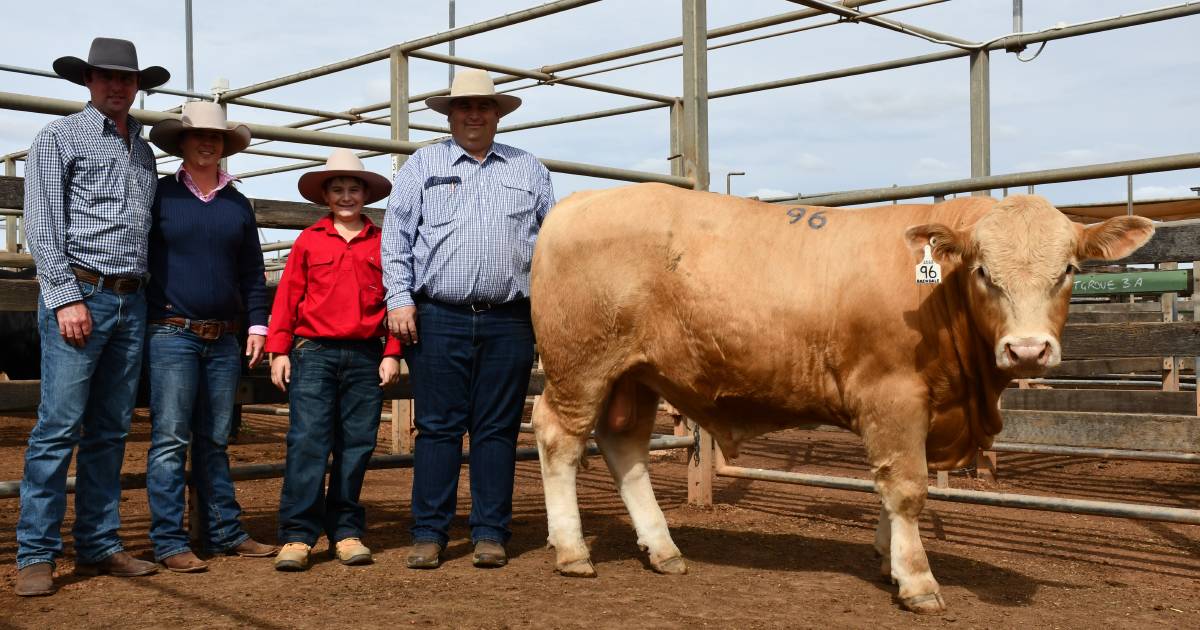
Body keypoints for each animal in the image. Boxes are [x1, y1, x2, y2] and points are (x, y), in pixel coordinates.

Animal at [528, 182, 1152, 614]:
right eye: (982, 272)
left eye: (1067, 270)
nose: (1026, 351)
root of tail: (579, 200)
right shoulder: (893, 394)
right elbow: (907, 488)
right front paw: (918, 581)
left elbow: (889, 486)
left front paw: (889, 561)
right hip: (579, 366)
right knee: (559, 439)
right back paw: (573, 552)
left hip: (635, 375)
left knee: (625, 448)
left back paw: (663, 549)